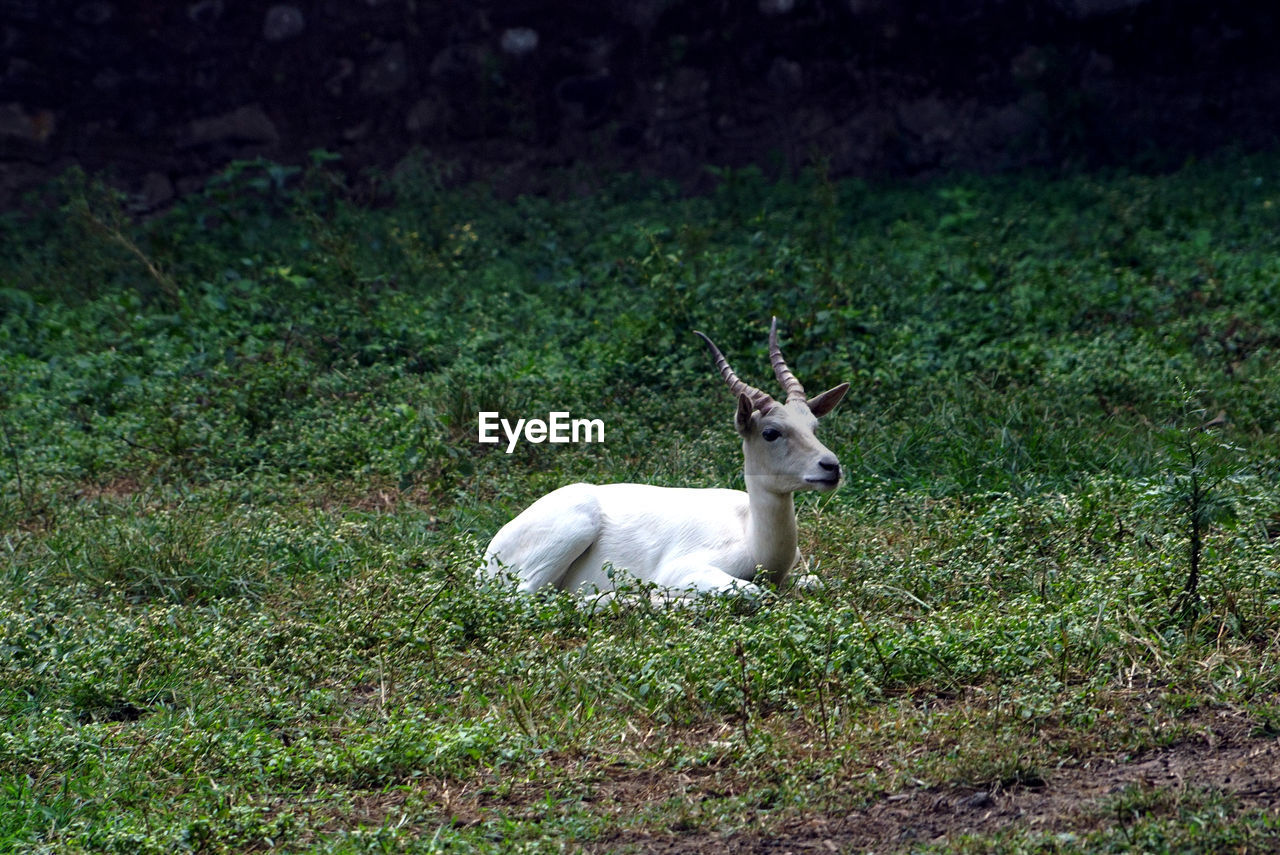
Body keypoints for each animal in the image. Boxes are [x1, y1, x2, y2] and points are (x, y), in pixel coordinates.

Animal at [481, 316, 849, 601]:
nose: (831, 467)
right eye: (771, 432)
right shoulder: (683, 569)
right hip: (571, 530)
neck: (755, 542)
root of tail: (488, 556)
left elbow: (813, 583)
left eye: (813, 426)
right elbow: (753, 593)